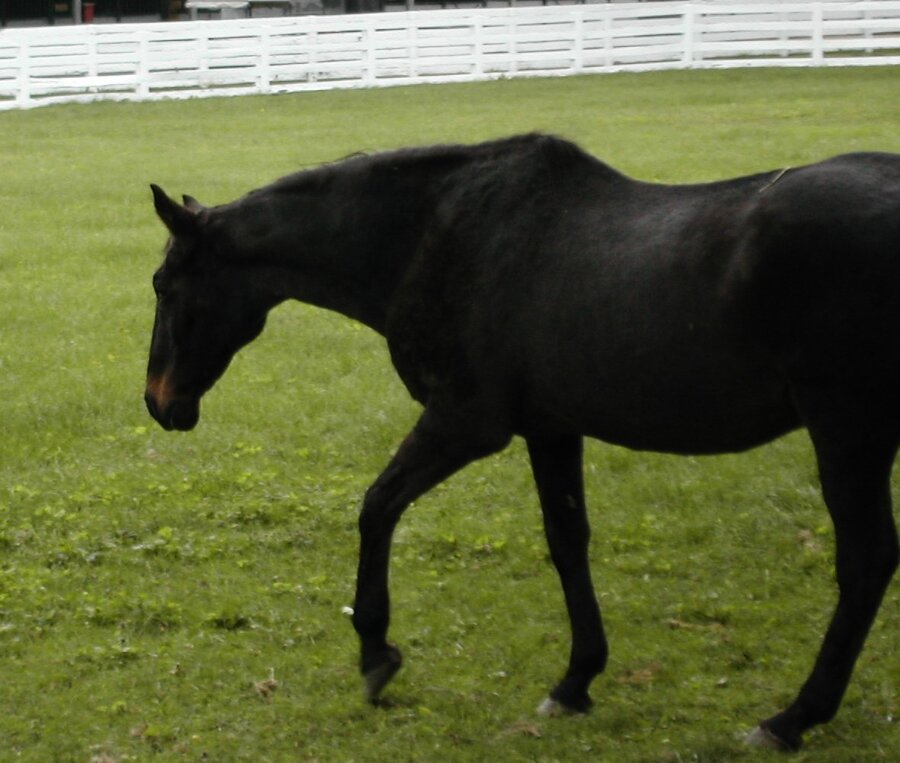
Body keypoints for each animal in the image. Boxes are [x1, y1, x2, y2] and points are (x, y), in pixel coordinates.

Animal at [144, 134, 896, 748]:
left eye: (164, 283)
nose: (158, 402)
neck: (431, 234)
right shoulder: (551, 427)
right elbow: (567, 541)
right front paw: (576, 680)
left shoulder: (466, 422)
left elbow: (377, 506)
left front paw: (376, 653)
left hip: (847, 427)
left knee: (865, 562)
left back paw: (791, 718)